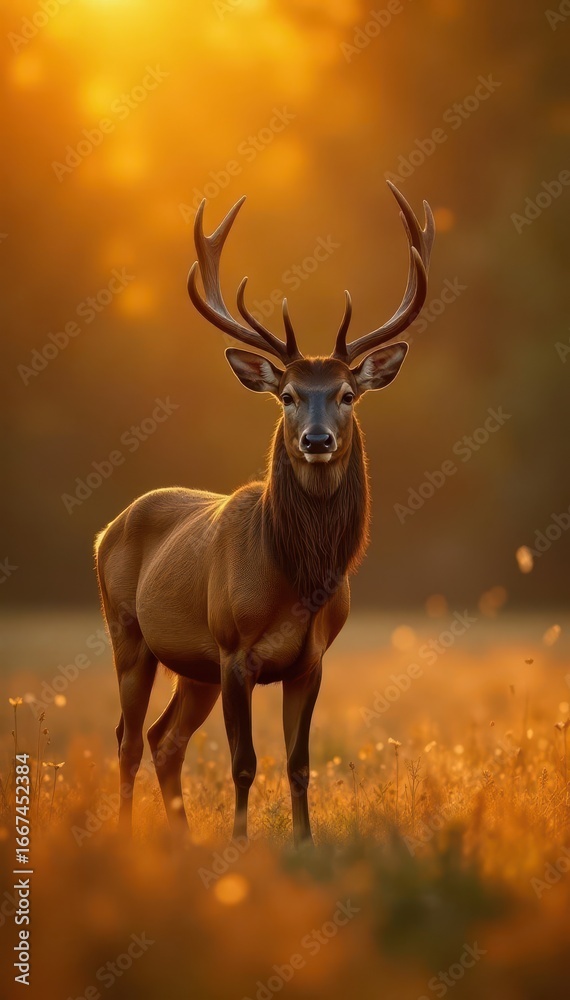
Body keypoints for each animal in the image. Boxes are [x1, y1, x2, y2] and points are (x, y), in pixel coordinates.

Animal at [94, 181, 435, 847]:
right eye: (287, 396)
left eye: (347, 394)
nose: (317, 439)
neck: (294, 580)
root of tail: (105, 530)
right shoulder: (233, 650)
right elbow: (244, 761)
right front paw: (240, 844)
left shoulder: (311, 659)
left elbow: (299, 763)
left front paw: (303, 843)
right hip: (129, 631)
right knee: (127, 738)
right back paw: (124, 836)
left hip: (192, 666)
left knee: (164, 739)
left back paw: (180, 839)